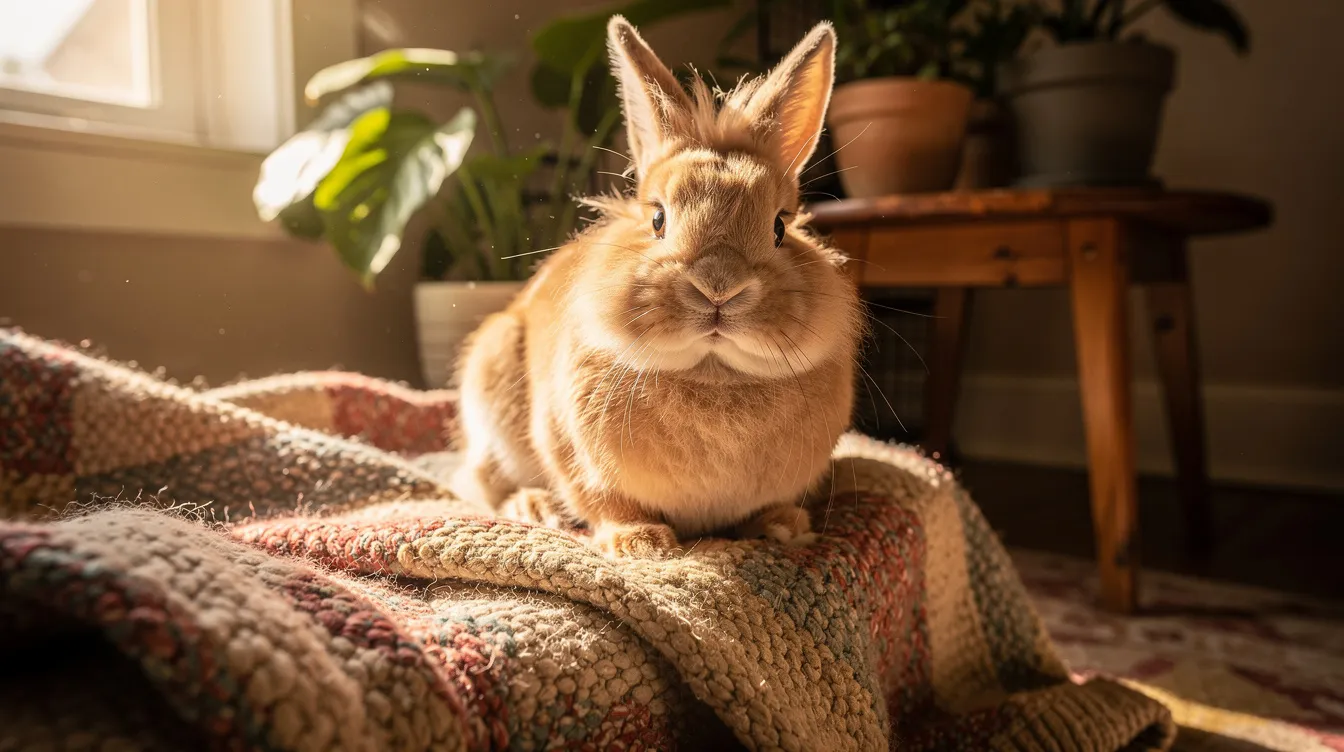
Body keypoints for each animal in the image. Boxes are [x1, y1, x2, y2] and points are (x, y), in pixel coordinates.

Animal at [450, 15, 863, 557]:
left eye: (779, 226)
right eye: (658, 219)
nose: (718, 287)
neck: (713, 372)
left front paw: (783, 527)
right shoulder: (569, 449)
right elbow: (603, 501)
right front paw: (641, 544)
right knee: (480, 483)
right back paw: (533, 507)